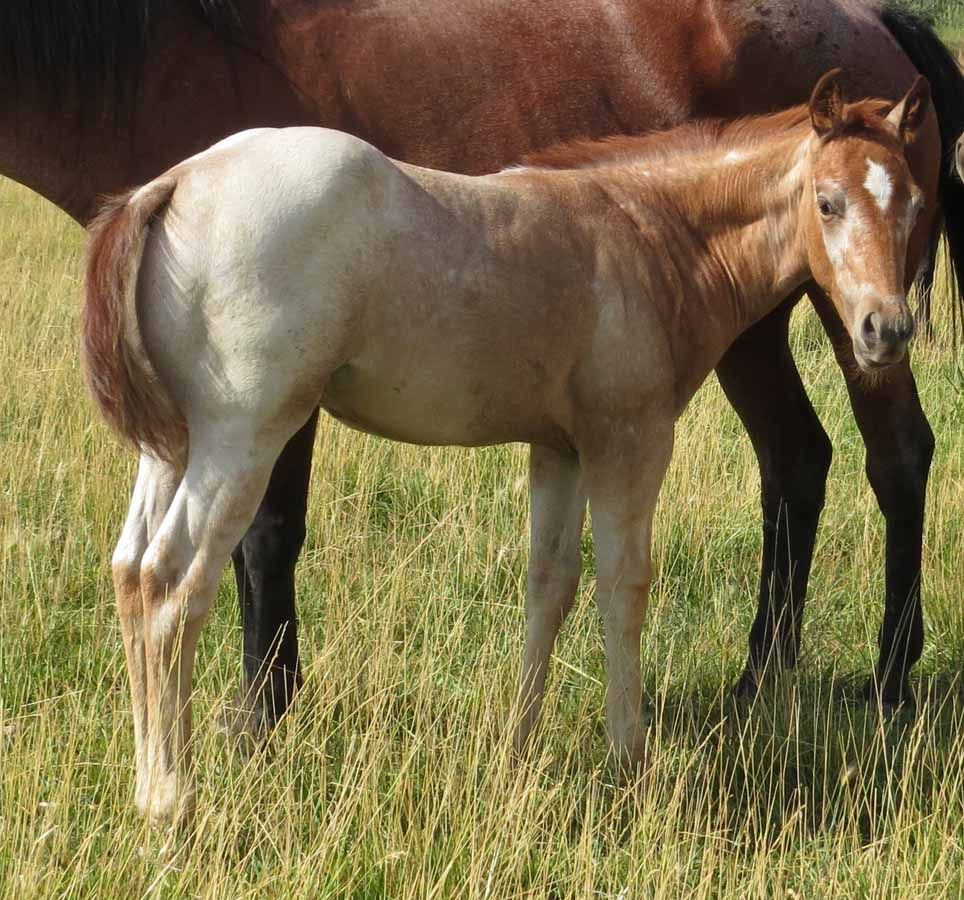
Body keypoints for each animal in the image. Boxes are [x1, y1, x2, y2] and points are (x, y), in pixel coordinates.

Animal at [5, 1, 964, 731]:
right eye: (828, 203)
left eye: (917, 205)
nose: (890, 326)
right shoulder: (605, 437)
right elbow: (591, 581)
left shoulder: (561, 439)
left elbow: (546, 582)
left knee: (887, 456)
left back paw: (876, 680)